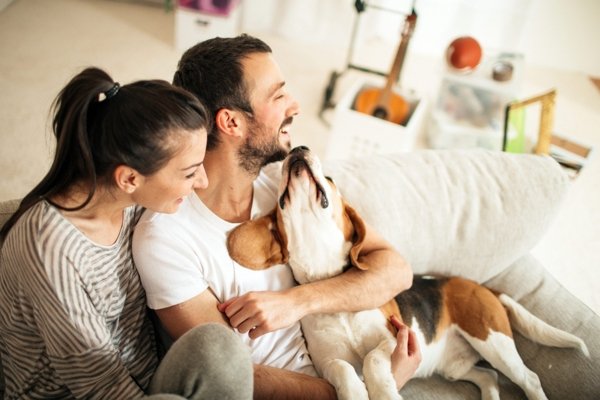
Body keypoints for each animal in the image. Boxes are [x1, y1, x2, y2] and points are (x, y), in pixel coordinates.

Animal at [227, 147, 588, 400]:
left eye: (329, 179)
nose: (298, 148)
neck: (331, 286)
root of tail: (478, 286)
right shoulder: (326, 362)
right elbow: (344, 368)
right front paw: (355, 392)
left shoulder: (393, 338)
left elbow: (372, 361)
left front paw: (383, 390)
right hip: (456, 366)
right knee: (489, 377)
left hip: (492, 340)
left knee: (529, 379)